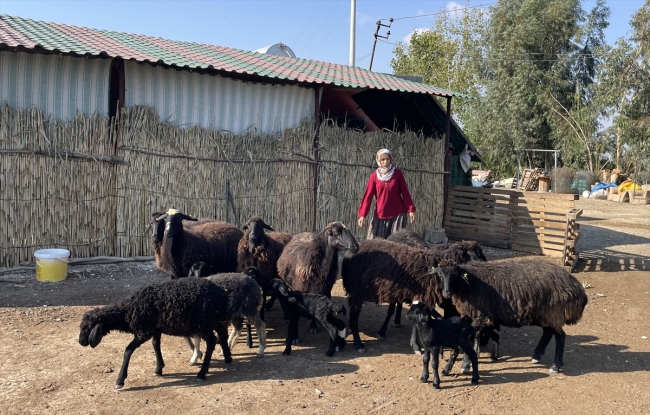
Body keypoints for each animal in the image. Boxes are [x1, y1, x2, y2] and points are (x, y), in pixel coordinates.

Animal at [78, 276, 230, 390]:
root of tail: (220, 293)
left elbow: (128, 350)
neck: (128, 310)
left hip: (203, 324)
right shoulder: (156, 330)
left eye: (87, 327)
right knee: (222, 333)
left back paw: (202, 373)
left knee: (212, 341)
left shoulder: (144, 332)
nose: (81, 342)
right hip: (213, 319)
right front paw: (158, 369)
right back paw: (228, 358)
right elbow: (155, 345)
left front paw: (120, 380)